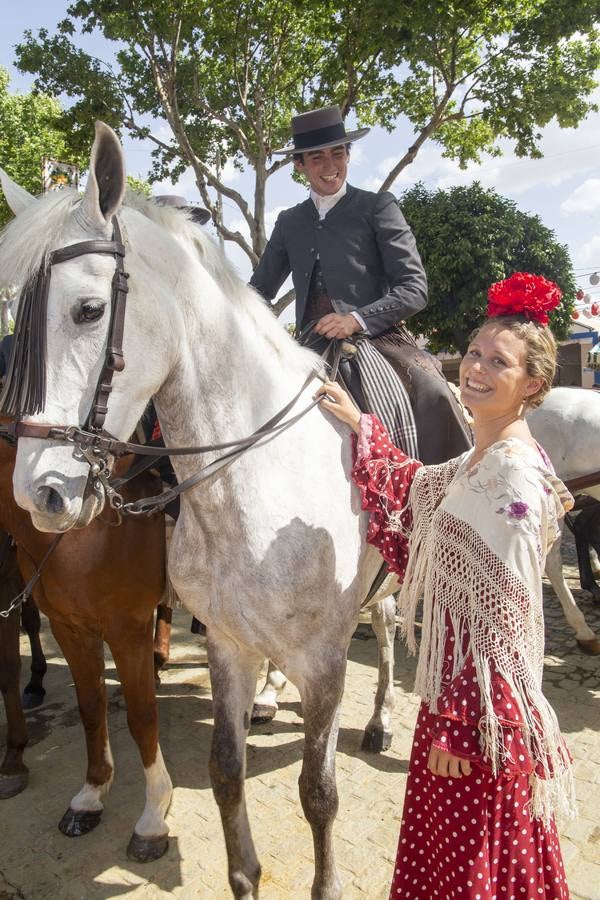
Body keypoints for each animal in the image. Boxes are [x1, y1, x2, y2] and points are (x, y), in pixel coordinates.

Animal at [0, 428, 173, 864]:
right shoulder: (69, 628)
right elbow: (91, 708)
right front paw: (92, 795)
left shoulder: (128, 631)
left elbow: (142, 717)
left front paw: (153, 818)